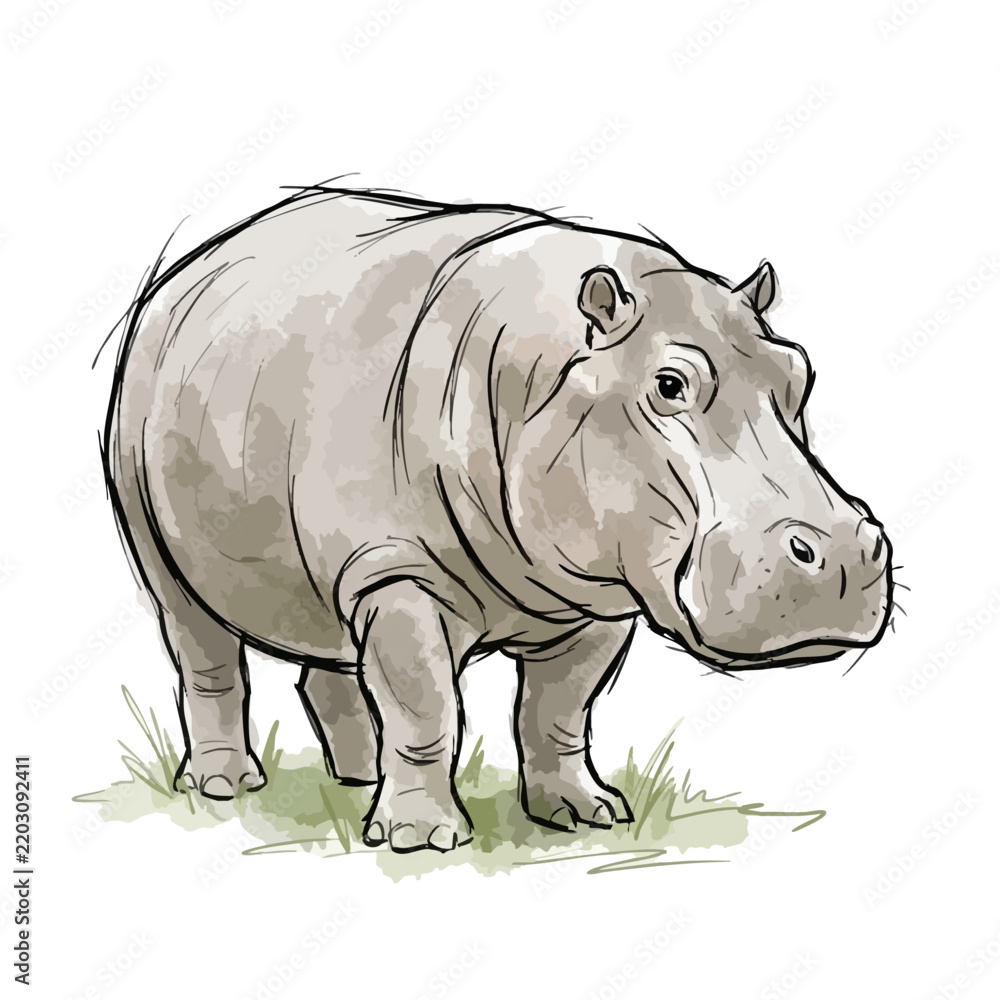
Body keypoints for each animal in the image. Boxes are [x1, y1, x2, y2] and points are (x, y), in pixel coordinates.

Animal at [103, 185, 893, 853]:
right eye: (670, 384)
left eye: (801, 375)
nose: (843, 552)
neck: (539, 370)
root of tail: (184, 273)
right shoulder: (399, 574)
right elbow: (425, 706)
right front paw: (422, 842)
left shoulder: (595, 595)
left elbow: (559, 709)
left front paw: (585, 815)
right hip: (149, 518)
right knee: (201, 650)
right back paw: (225, 786)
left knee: (328, 654)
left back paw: (359, 780)